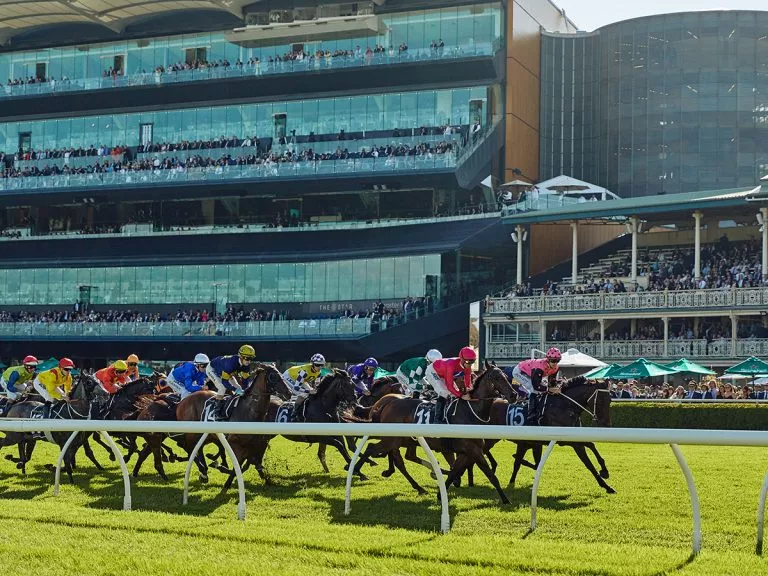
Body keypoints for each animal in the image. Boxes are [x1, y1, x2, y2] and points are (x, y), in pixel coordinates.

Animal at [354, 364, 516, 504]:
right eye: (495, 378)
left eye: (506, 377)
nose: (514, 395)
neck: (470, 412)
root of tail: (387, 403)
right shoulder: (473, 450)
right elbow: (490, 474)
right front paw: (505, 500)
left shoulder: (465, 452)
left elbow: (454, 472)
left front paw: (441, 493)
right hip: (392, 439)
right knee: (372, 448)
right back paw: (357, 470)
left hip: (402, 440)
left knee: (400, 459)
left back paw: (418, 486)